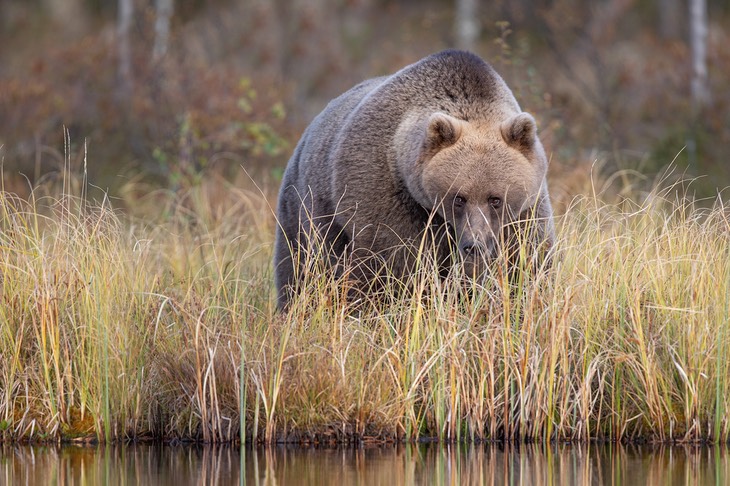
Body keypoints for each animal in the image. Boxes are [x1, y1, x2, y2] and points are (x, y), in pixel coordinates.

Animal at [272, 48, 552, 308]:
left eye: (495, 199)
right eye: (458, 198)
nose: (474, 245)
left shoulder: (524, 212)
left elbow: (529, 257)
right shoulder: (386, 191)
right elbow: (392, 260)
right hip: (308, 207)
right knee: (300, 265)